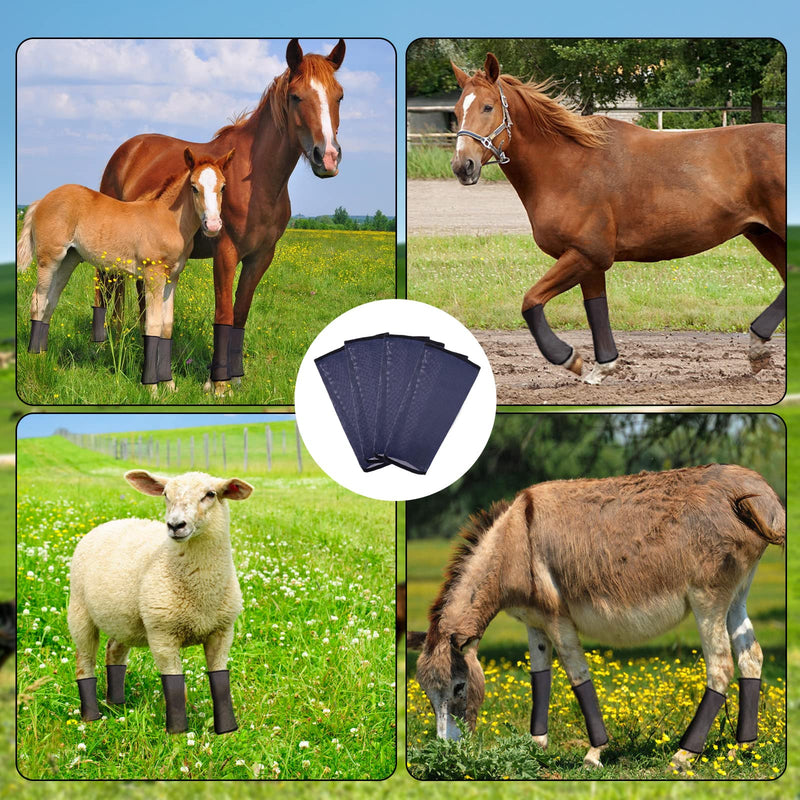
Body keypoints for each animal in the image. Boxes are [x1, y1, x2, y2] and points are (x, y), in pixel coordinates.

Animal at [17, 148, 233, 392]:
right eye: (194, 187)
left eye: (223, 187)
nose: (212, 226)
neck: (168, 219)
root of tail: (41, 200)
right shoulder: (153, 276)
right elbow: (152, 325)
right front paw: (152, 388)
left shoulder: (172, 279)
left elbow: (167, 326)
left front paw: (169, 384)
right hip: (50, 259)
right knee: (38, 300)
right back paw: (35, 359)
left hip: (68, 261)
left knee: (50, 301)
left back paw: (43, 357)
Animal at [98, 38, 346, 395]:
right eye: (296, 96)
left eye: (339, 96)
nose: (327, 158)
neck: (255, 181)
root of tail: (127, 150)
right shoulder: (225, 253)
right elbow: (224, 313)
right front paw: (218, 384)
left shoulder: (260, 257)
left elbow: (240, 314)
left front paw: (236, 377)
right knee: (108, 293)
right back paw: (109, 346)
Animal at [409, 465, 784, 772]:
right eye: (426, 693)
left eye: (459, 687)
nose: (447, 755)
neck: (514, 545)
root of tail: (755, 492)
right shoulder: (534, 623)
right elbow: (539, 678)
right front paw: (535, 747)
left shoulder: (558, 620)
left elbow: (578, 678)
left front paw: (594, 753)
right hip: (736, 596)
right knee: (751, 657)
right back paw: (742, 749)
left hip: (708, 599)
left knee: (720, 667)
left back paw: (683, 755)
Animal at [450, 54, 786, 385]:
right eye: (456, 110)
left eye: (488, 107)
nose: (462, 166)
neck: (568, 166)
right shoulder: (587, 259)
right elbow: (595, 308)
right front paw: (603, 366)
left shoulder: (588, 254)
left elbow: (530, 301)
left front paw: (567, 357)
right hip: (762, 234)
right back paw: (758, 348)